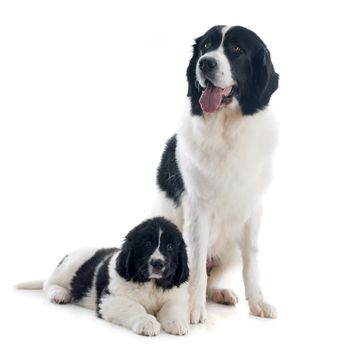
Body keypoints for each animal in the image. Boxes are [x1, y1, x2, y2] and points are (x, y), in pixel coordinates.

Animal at [16, 217, 190, 334]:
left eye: (170, 247)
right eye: (147, 245)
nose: (158, 263)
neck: (151, 284)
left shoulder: (176, 295)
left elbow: (172, 306)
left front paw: (177, 322)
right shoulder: (109, 299)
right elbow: (134, 306)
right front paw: (147, 321)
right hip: (71, 263)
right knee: (49, 282)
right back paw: (59, 293)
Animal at [152, 26, 280, 324]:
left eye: (236, 49)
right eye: (206, 47)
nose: (205, 63)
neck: (227, 128)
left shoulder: (253, 209)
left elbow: (252, 263)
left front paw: (258, 302)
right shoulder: (199, 210)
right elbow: (197, 263)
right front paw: (192, 310)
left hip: (230, 248)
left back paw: (220, 293)